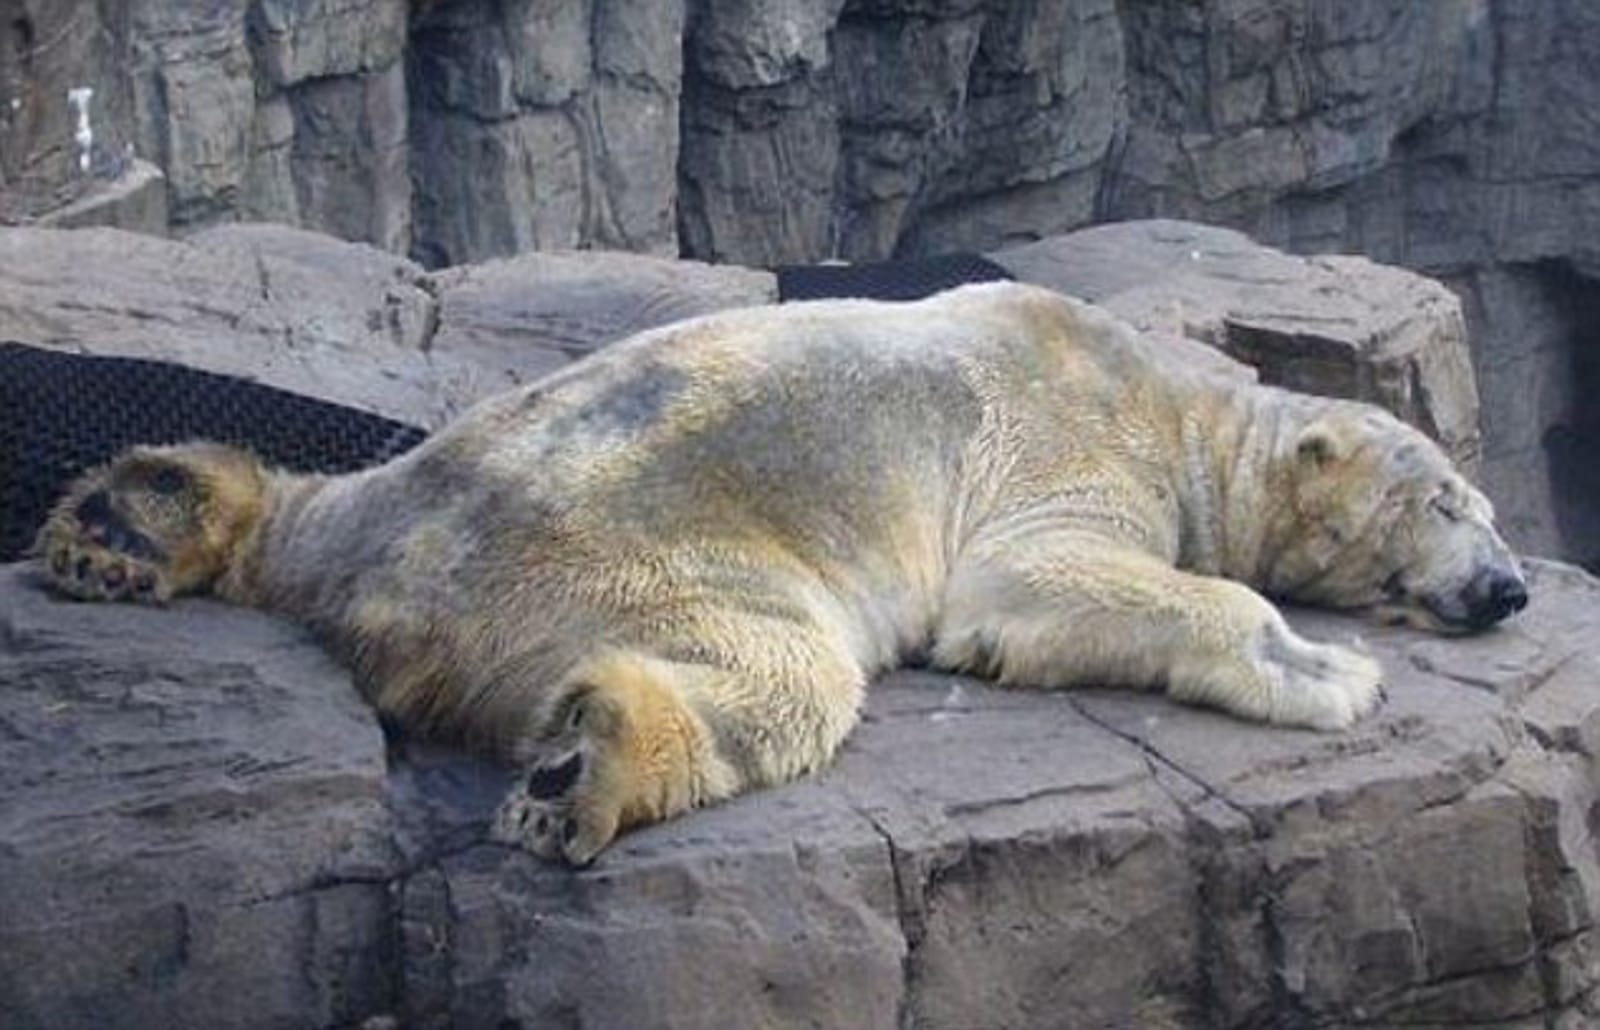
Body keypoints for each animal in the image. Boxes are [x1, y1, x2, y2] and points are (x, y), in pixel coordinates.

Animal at [33, 281, 1526, 865]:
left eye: (1488, 506)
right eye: (1448, 499)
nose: (1510, 587)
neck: (1179, 407)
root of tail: (388, 586)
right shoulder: (1066, 443)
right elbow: (1039, 583)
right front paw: (1324, 667)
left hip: (382, 496)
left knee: (288, 501)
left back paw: (130, 519)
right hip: (638, 557)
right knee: (778, 670)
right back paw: (591, 764)